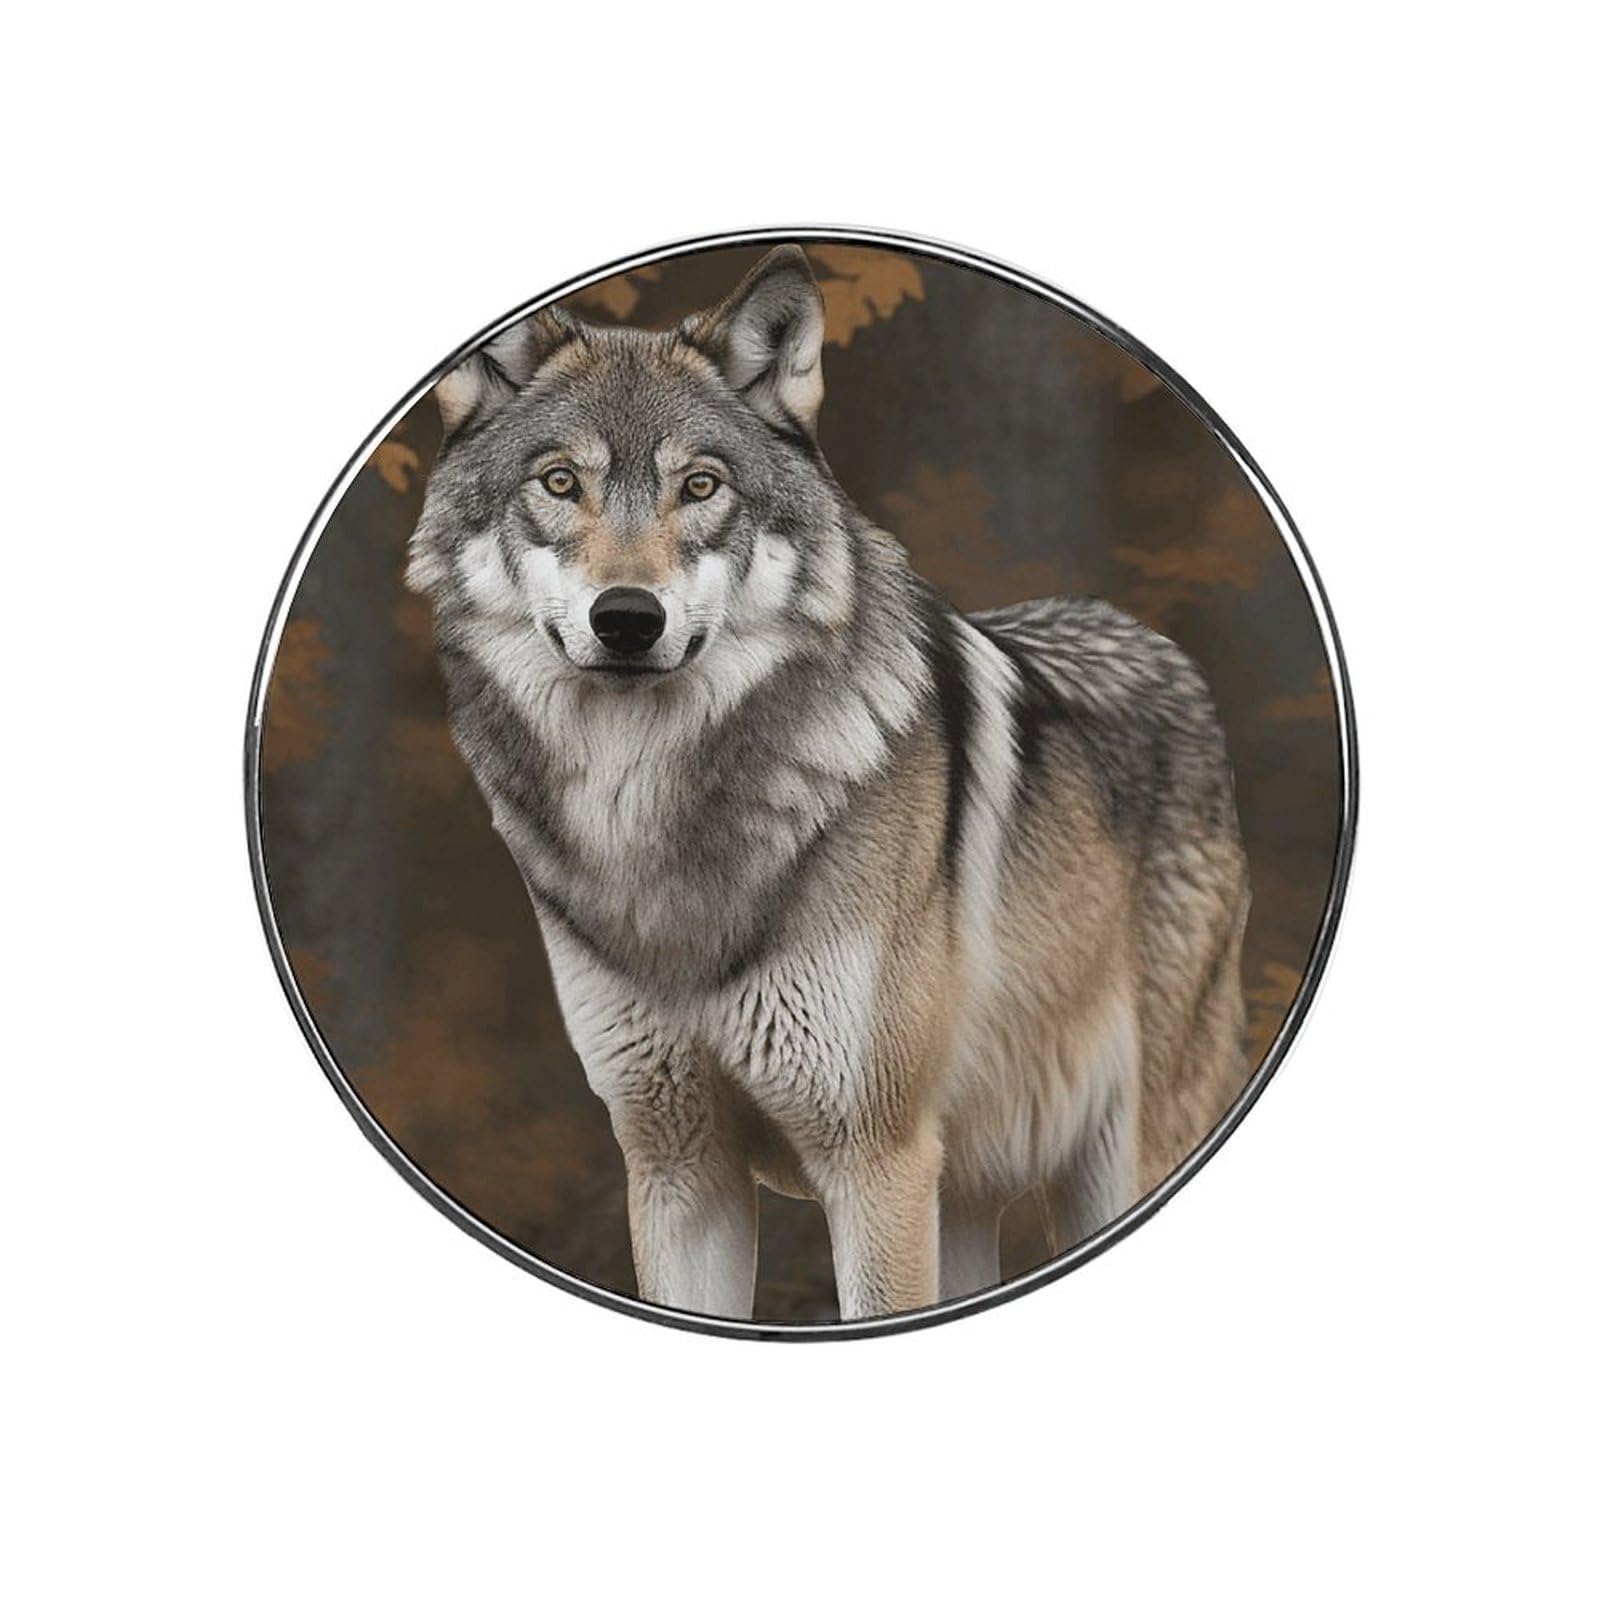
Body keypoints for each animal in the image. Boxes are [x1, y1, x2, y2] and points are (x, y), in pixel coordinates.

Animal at [406, 245, 1250, 1322]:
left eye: (701, 485)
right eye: (560, 482)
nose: (628, 619)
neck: (652, 824)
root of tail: (1154, 641)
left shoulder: (875, 1163)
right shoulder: (677, 1167)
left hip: (1116, 1160)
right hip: (964, 1200)